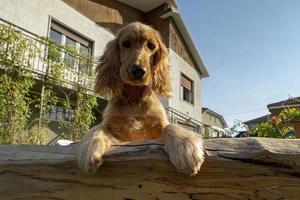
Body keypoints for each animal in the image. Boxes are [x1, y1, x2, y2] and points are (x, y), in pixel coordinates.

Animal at [77, 21, 206, 175]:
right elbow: (97, 128)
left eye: (151, 46)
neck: (134, 98)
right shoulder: (112, 127)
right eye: (126, 43)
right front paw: (89, 152)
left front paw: (185, 148)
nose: (138, 71)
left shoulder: (159, 125)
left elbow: (170, 126)